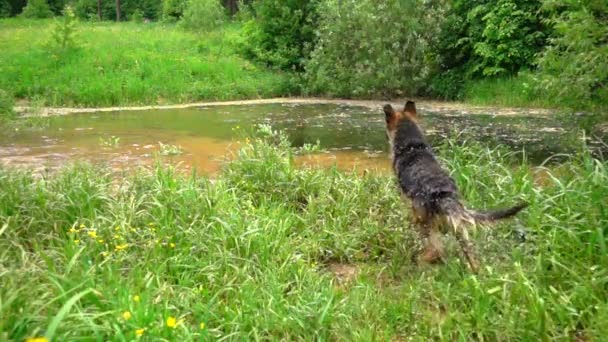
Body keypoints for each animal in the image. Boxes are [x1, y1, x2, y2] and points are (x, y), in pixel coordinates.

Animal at [384, 101, 528, 272]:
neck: (412, 146)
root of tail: (445, 195)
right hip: (459, 228)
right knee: (468, 254)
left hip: (428, 224)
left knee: (436, 249)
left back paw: (421, 262)